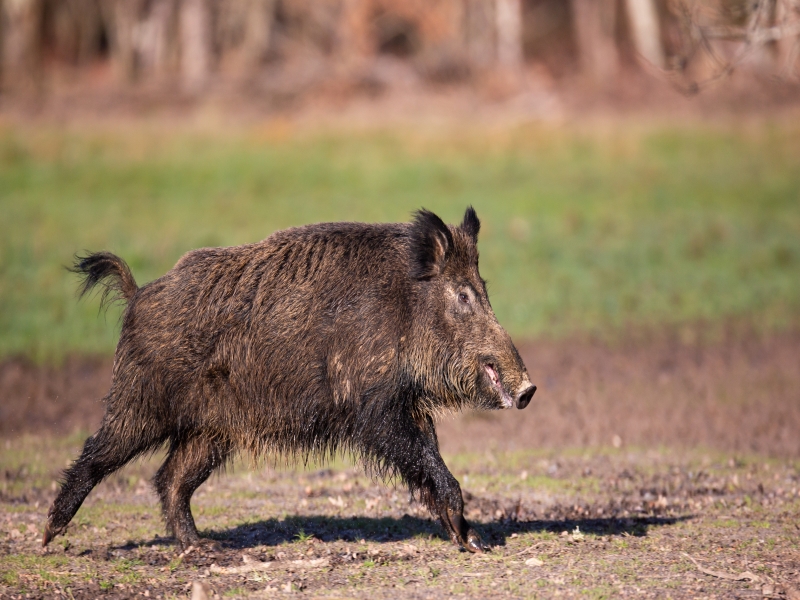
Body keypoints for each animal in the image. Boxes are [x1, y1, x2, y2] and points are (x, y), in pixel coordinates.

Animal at [43, 207, 536, 553]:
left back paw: (206, 547)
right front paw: (472, 541)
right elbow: (421, 457)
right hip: (139, 401)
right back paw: (49, 536)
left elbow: (430, 454)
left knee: (171, 478)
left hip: (211, 432)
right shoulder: (374, 409)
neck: (403, 308)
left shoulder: (405, 405)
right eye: (464, 295)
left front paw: (470, 539)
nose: (529, 389)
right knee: (97, 452)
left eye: (484, 289)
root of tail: (138, 294)